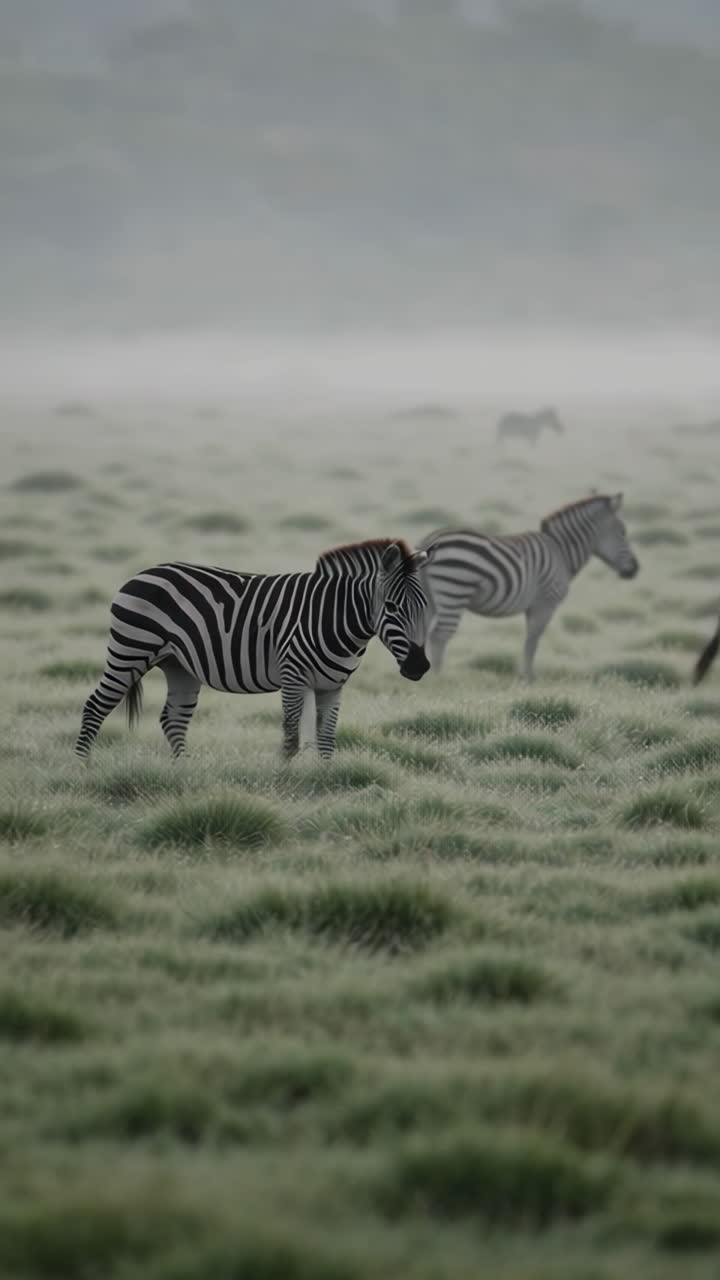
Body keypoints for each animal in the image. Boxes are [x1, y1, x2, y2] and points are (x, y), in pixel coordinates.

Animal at [75, 539, 432, 763]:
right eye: (391, 607)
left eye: (425, 608)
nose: (419, 667)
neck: (335, 616)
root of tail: (142, 573)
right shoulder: (293, 677)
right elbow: (291, 739)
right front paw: (283, 782)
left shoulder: (333, 685)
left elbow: (327, 740)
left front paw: (327, 782)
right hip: (129, 650)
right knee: (94, 707)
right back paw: (84, 769)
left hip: (179, 665)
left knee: (173, 718)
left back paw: (184, 774)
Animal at [416, 493, 639, 681]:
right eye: (622, 532)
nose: (635, 569)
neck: (561, 552)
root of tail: (429, 539)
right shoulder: (546, 602)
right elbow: (533, 641)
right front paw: (528, 679)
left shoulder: (533, 607)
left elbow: (529, 640)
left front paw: (526, 677)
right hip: (454, 590)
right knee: (440, 635)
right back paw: (437, 679)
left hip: (429, 597)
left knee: (422, 633)